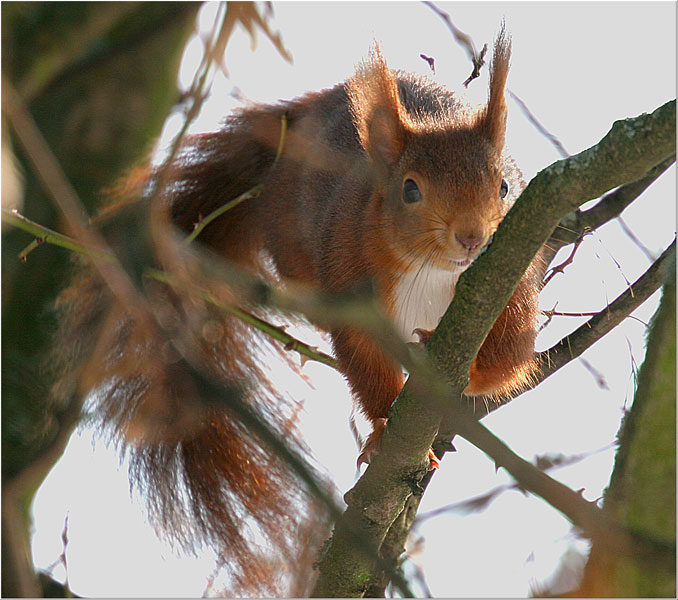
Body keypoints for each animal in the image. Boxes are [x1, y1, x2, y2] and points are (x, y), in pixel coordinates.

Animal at [51, 27, 540, 596]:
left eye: (504, 187)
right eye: (410, 189)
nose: (471, 237)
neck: (432, 274)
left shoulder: (511, 280)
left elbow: (510, 357)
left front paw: (468, 371)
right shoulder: (352, 289)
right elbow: (364, 362)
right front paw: (380, 431)